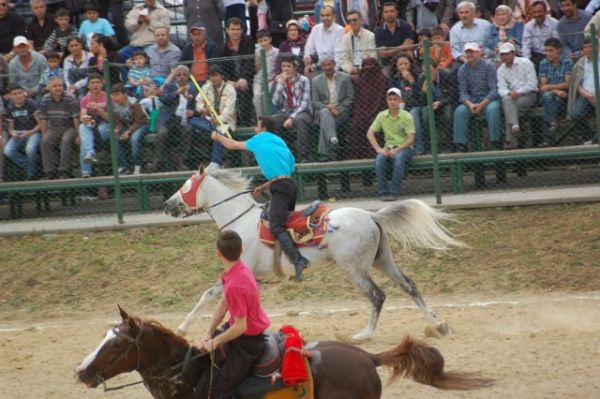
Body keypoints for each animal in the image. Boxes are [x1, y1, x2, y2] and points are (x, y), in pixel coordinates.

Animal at [164, 166, 464, 340]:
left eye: (186, 186)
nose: (168, 204)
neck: (239, 223)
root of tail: (371, 215)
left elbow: (207, 295)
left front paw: (182, 328)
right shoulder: (253, 280)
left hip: (354, 269)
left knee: (377, 296)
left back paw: (364, 334)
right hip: (383, 260)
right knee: (409, 286)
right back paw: (439, 325)